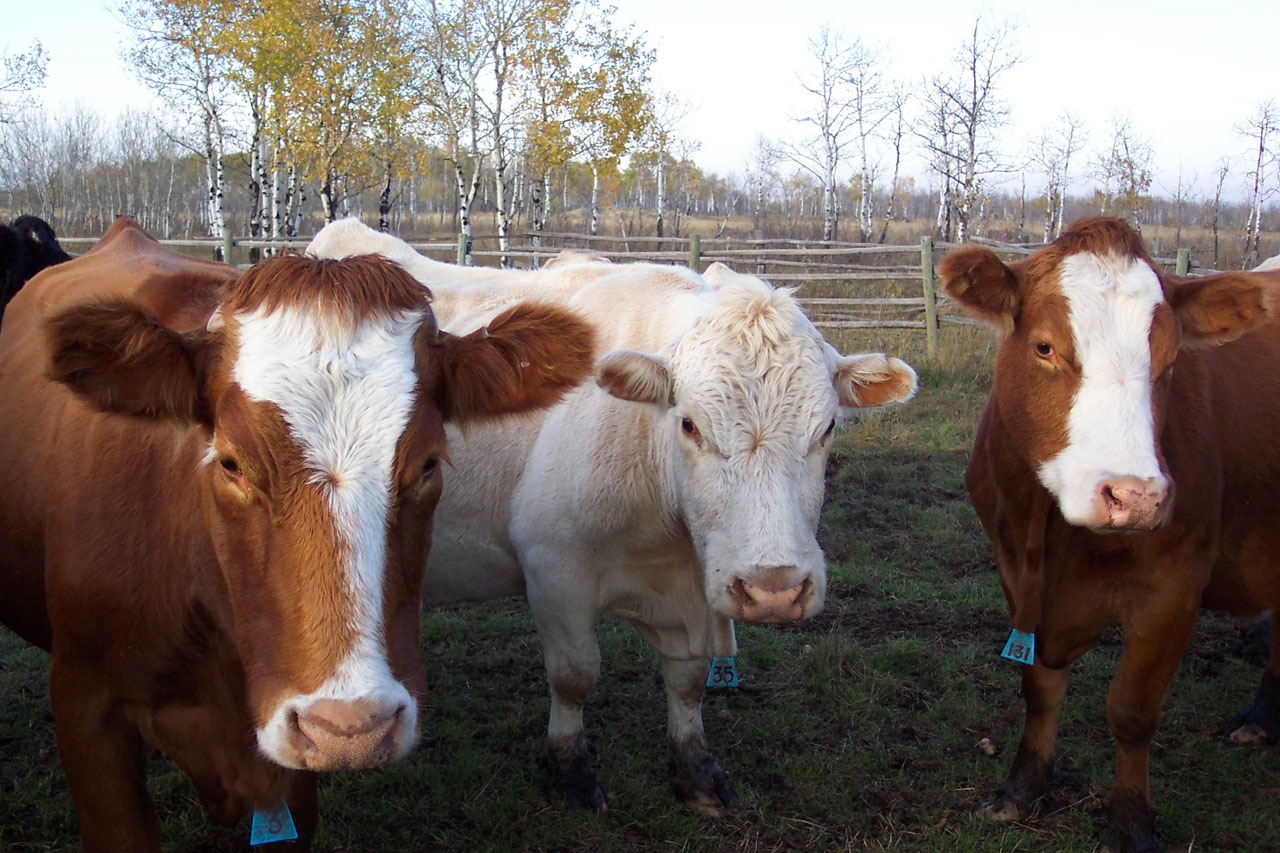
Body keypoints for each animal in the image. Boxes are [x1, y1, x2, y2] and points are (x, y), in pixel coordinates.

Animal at [304, 219, 916, 809]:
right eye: (689, 423)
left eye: (828, 427)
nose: (773, 589)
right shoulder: (555, 568)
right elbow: (575, 674)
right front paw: (570, 773)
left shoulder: (696, 587)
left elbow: (688, 679)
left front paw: (695, 771)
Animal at [942, 216, 1280, 850]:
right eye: (1045, 347)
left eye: (1170, 361)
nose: (1136, 496)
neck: (1052, 539)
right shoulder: (1014, 571)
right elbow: (1038, 685)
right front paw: (1022, 788)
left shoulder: (1174, 588)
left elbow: (1132, 710)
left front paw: (1129, 821)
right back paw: (1260, 718)